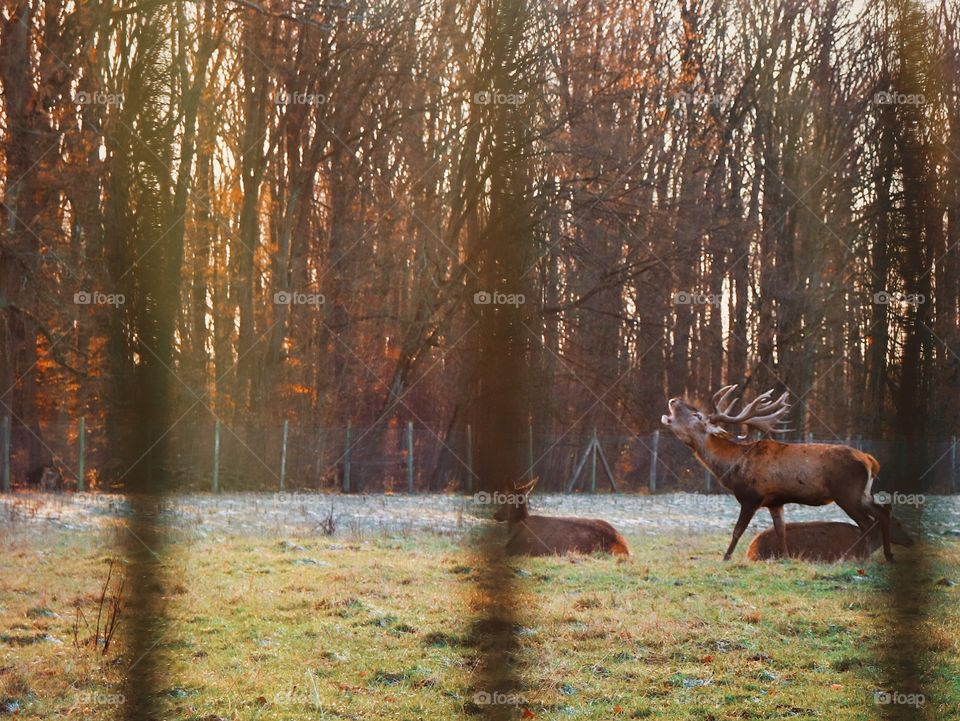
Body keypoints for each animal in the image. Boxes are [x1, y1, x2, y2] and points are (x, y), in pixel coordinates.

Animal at [492, 478, 630, 557]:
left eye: (505, 498)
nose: (495, 514)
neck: (517, 523)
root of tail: (620, 544)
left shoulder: (513, 548)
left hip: (575, 548)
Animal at [661, 384, 896, 561]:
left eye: (697, 415)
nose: (673, 400)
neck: (732, 466)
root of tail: (870, 461)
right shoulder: (775, 501)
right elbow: (780, 530)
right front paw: (785, 557)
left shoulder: (752, 497)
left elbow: (738, 530)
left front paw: (725, 558)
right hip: (863, 494)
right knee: (883, 514)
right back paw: (888, 556)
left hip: (847, 493)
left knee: (867, 524)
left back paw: (860, 557)